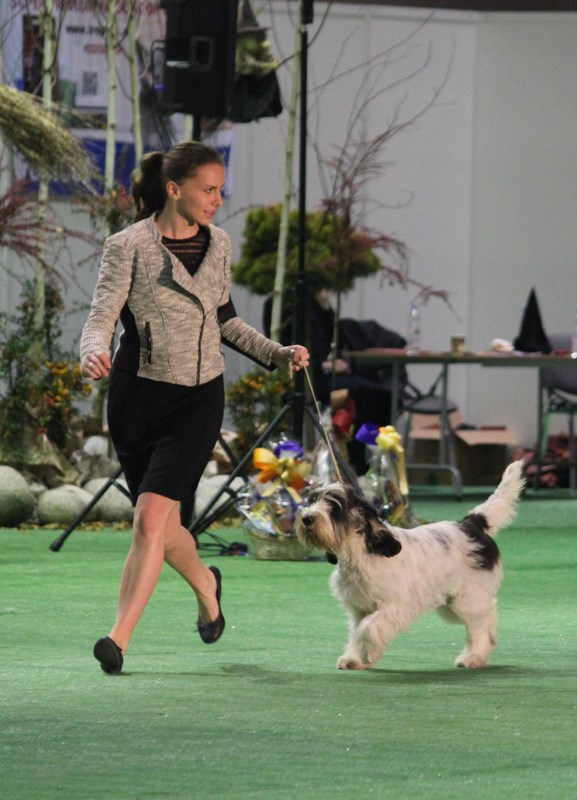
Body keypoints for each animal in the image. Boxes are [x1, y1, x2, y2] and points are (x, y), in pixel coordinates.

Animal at [295, 460, 525, 670]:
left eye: (335, 507)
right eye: (311, 501)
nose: (306, 518)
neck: (361, 555)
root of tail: (472, 524)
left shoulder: (396, 606)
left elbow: (367, 629)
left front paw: (369, 653)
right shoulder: (359, 608)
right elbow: (356, 631)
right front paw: (355, 659)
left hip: (466, 600)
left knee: (481, 623)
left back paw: (473, 657)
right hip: (452, 603)